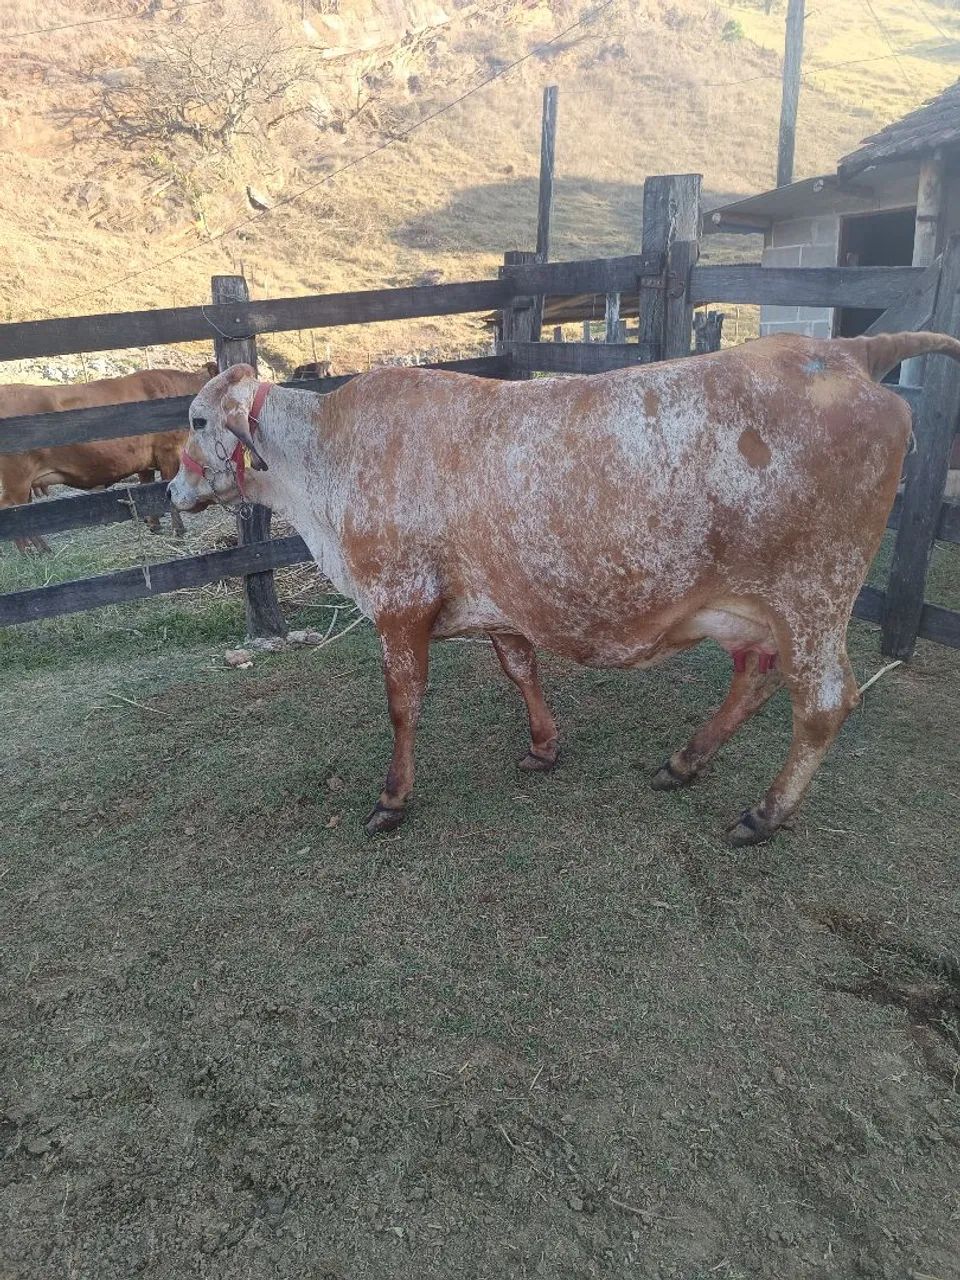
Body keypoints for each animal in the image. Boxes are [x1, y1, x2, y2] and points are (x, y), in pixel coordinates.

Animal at [0, 365, 217, 552]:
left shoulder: (145, 463)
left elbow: (147, 490)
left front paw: (154, 524)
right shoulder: (169, 453)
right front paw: (178, 530)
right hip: (17, 478)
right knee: (13, 511)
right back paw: (34, 551)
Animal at [168, 330, 960, 846]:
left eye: (198, 420)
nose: (171, 491)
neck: (323, 466)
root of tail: (851, 351)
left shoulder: (399, 604)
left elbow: (402, 706)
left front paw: (393, 798)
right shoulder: (497, 603)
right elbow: (521, 667)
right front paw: (545, 745)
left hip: (815, 595)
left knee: (823, 703)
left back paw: (764, 813)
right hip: (754, 607)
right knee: (754, 676)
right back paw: (685, 761)